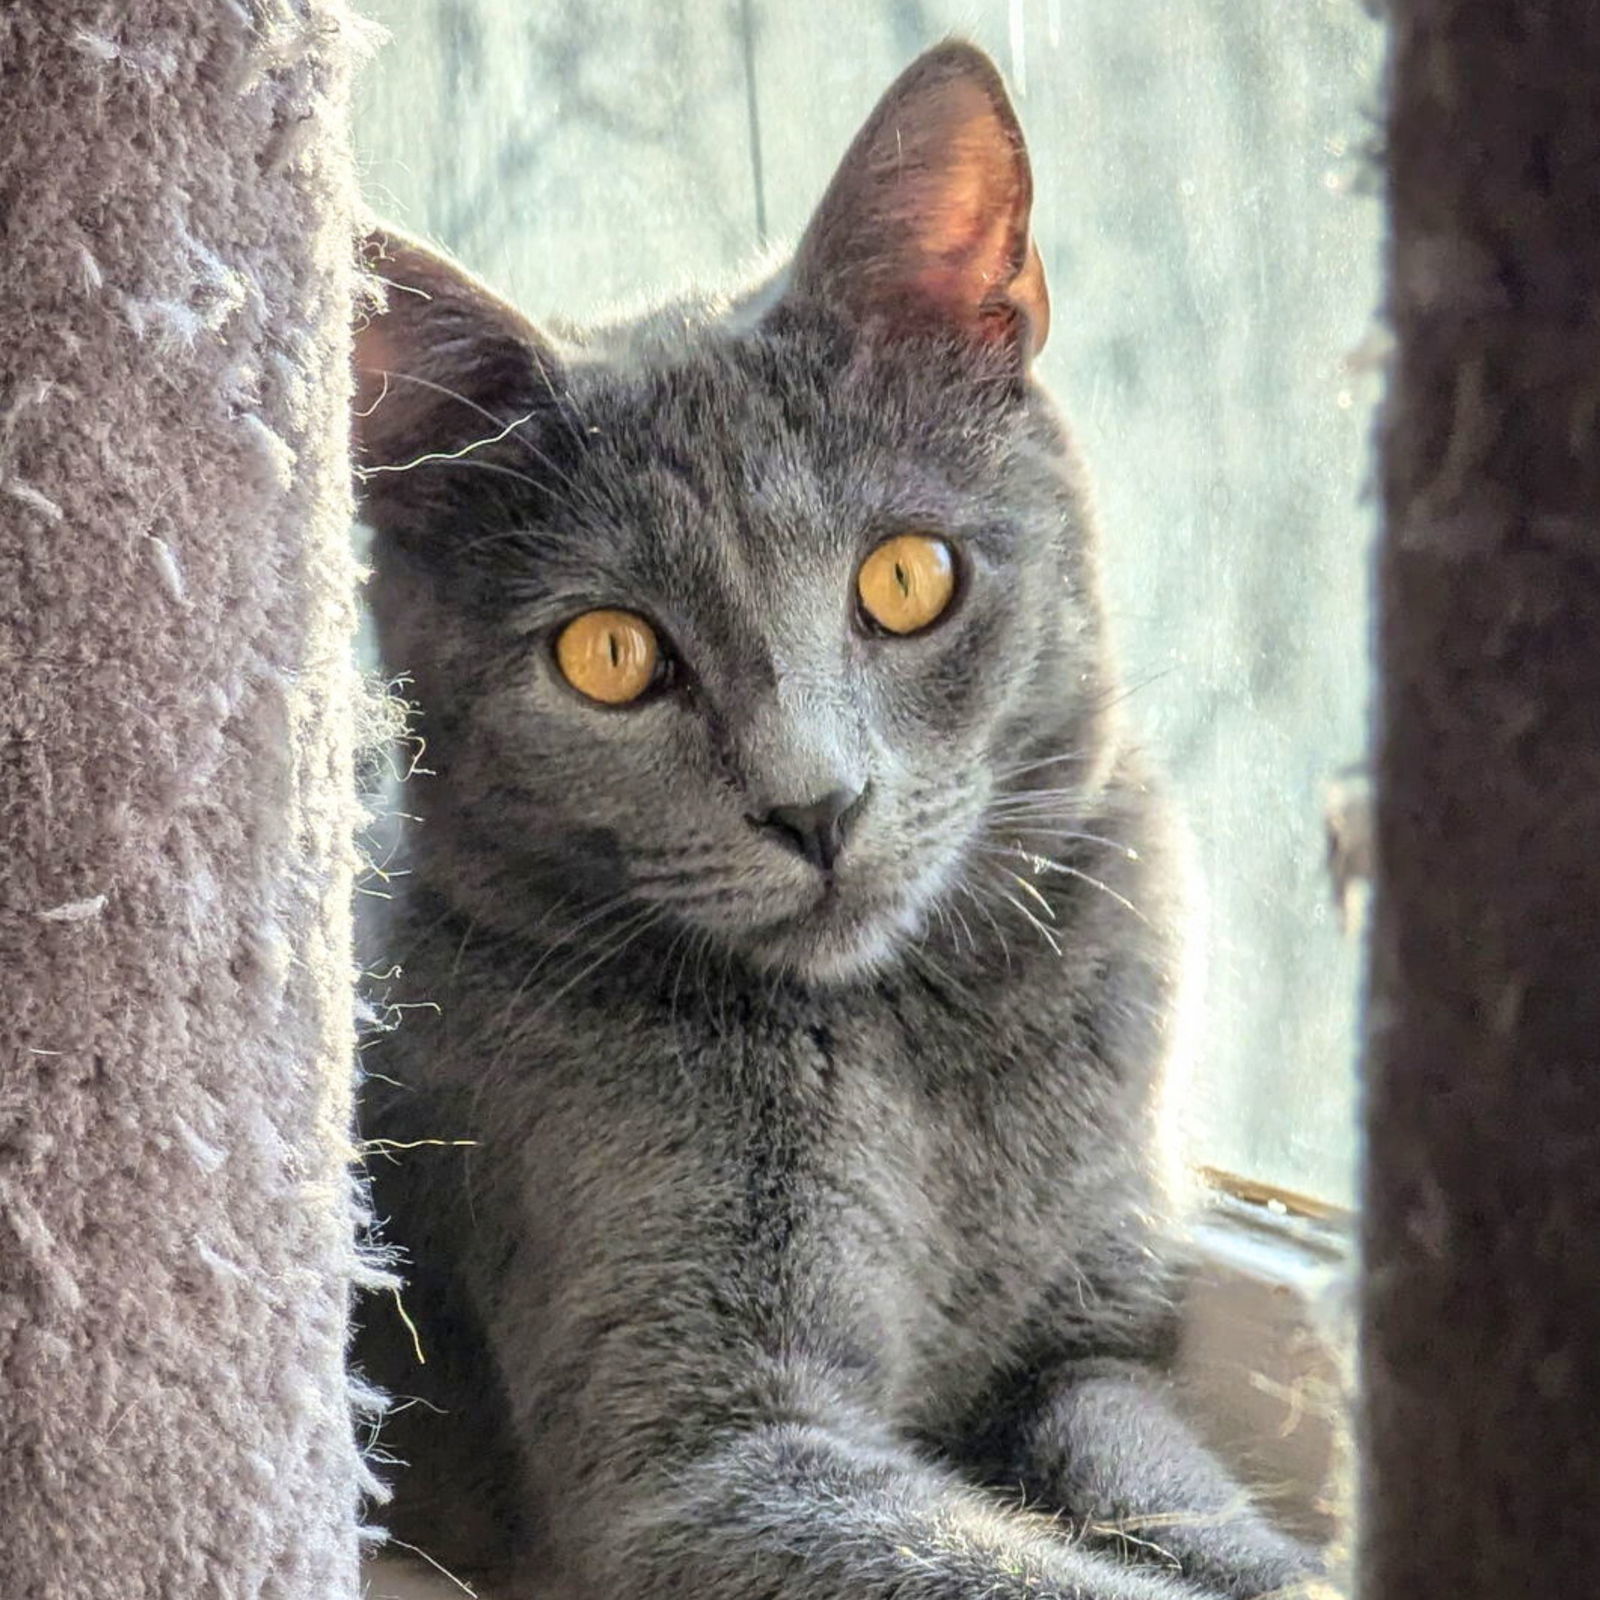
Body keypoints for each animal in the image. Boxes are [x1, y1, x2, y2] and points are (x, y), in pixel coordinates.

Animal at [360, 37, 1324, 1600]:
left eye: (907, 578)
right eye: (608, 655)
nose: (816, 803)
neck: (916, 1059)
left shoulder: (1084, 1346)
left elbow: (1164, 1488)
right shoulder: (706, 1460)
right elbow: (1007, 1563)